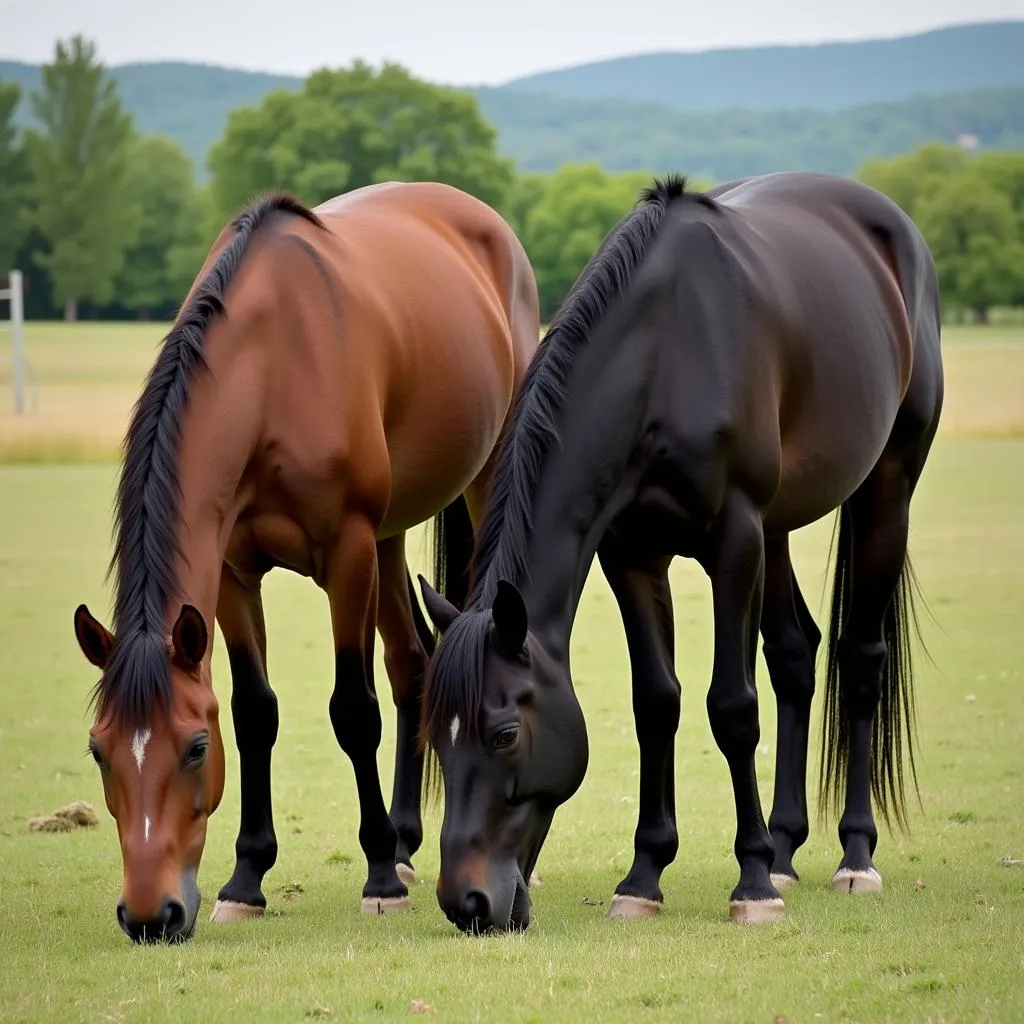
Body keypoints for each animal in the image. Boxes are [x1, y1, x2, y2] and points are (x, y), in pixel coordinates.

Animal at [70, 180, 544, 937]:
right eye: (98, 748)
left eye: (193, 747)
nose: (149, 914)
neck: (271, 363)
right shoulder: (232, 576)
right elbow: (254, 711)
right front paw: (246, 879)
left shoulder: (345, 553)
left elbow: (353, 709)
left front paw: (379, 876)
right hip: (388, 536)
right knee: (413, 664)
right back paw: (406, 838)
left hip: (473, 485)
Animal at [415, 172, 942, 933]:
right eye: (434, 737)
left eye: (506, 734)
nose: (469, 904)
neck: (662, 355)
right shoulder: (632, 555)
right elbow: (656, 702)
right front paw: (645, 876)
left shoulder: (734, 540)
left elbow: (733, 707)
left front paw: (752, 883)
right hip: (780, 527)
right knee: (795, 654)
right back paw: (787, 848)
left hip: (885, 488)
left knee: (860, 660)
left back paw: (853, 856)